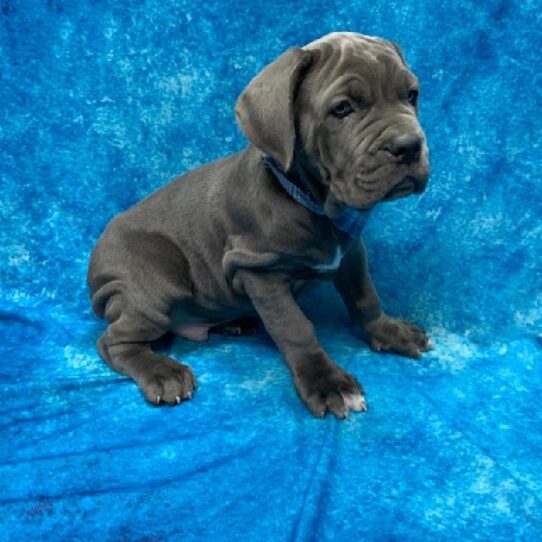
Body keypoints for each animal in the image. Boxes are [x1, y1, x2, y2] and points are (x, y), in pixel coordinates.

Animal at [88, 31, 434, 418]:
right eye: (342, 109)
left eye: (411, 95)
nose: (409, 145)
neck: (314, 202)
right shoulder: (260, 272)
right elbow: (295, 327)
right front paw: (326, 382)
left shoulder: (351, 253)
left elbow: (365, 296)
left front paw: (389, 331)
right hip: (157, 278)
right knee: (113, 342)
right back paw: (163, 372)